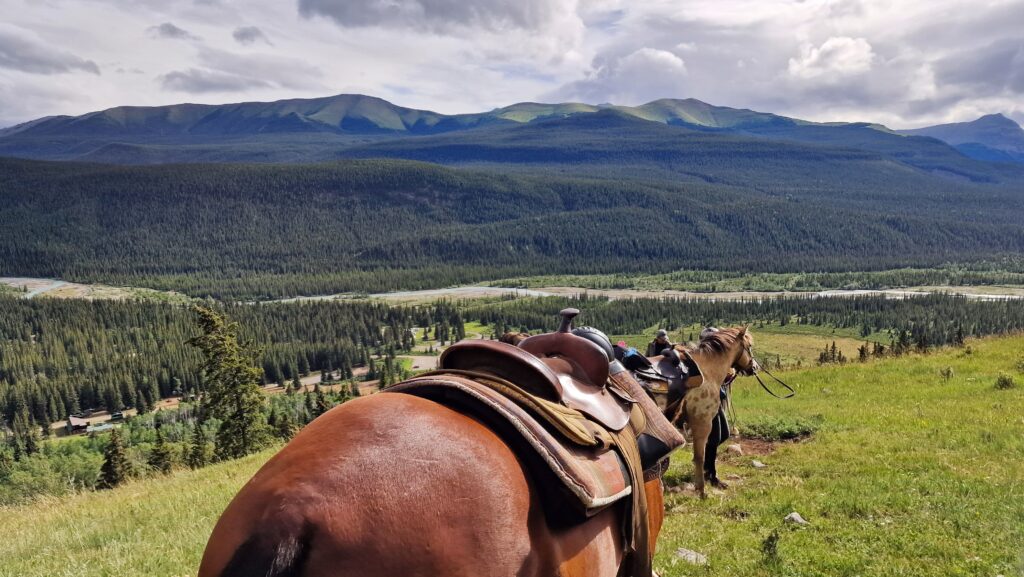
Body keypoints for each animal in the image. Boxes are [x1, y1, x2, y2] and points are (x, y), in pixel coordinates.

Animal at [665, 326, 757, 498]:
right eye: (749, 346)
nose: (754, 367)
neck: (705, 373)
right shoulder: (702, 422)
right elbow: (699, 457)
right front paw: (701, 491)